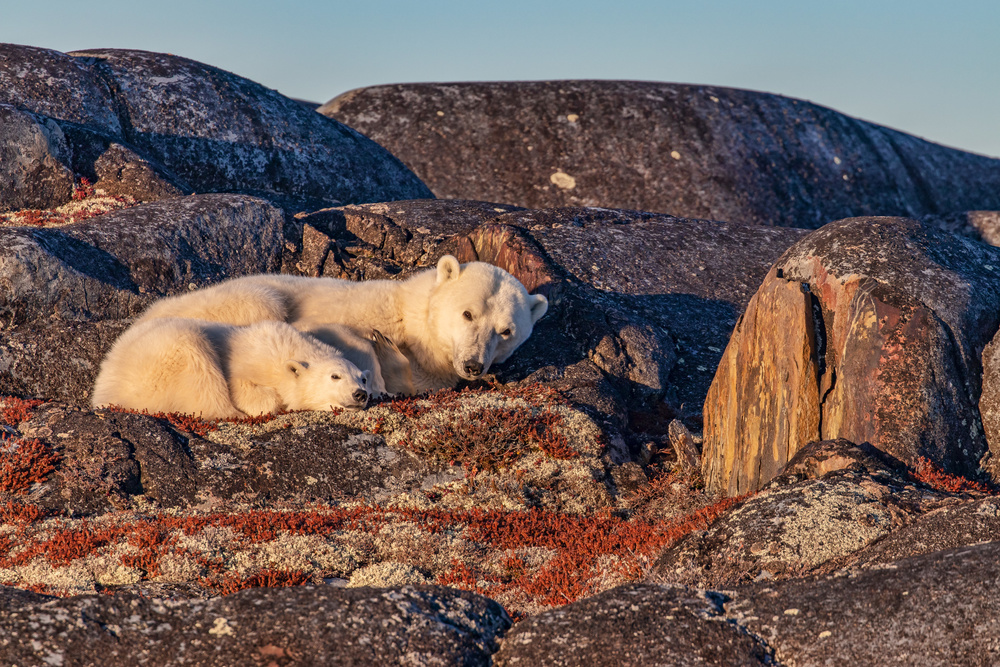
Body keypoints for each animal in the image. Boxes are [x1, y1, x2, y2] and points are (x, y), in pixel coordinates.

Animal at [94, 318, 372, 418]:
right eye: (335, 376)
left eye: (363, 379)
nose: (360, 394)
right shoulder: (250, 360)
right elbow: (242, 385)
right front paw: (272, 402)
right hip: (164, 358)